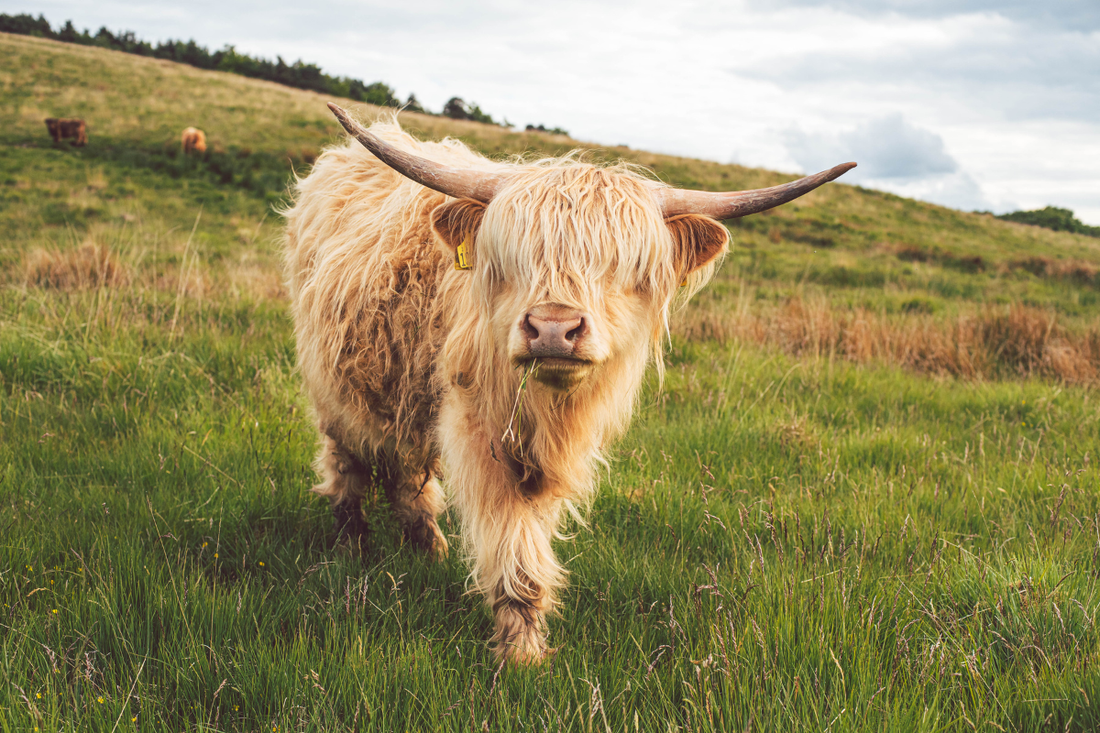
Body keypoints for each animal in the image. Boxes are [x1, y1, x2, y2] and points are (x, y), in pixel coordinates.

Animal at [283, 103, 854, 663]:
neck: (546, 409)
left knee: (405, 470)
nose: (553, 329)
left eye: (624, 266)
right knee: (347, 458)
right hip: (332, 382)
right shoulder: (479, 431)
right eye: (511, 259)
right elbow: (514, 547)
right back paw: (353, 542)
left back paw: (427, 546)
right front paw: (522, 655)